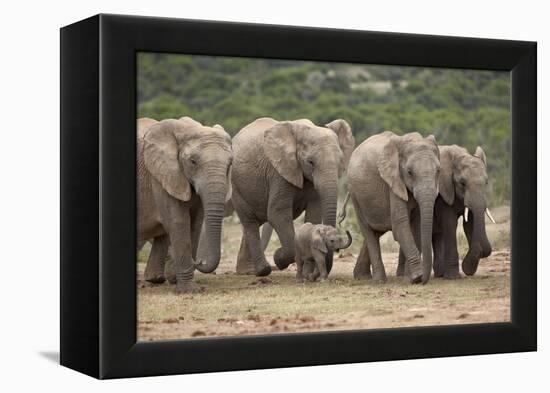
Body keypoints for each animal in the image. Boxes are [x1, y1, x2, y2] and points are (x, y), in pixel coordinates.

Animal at [139, 115, 234, 292]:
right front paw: (189, 290)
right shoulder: (161, 175)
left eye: (230, 164)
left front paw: (178, 281)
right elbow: (179, 221)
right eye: (193, 161)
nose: (200, 261)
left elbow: (195, 223)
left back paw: (156, 279)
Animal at [232, 116, 354, 276]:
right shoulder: (279, 172)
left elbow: (314, 213)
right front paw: (278, 258)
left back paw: (247, 271)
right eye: (310, 162)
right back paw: (262, 270)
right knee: (250, 222)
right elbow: (277, 213)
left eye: (341, 162)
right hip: (237, 186)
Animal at [350, 131, 444, 282]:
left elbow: (416, 225)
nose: (424, 280)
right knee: (369, 232)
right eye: (409, 172)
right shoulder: (393, 181)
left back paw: (362, 276)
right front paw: (417, 277)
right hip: (355, 195)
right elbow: (400, 224)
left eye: (438, 170)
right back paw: (379, 280)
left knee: (376, 231)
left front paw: (409, 277)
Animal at [396, 145, 496, 278]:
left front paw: (467, 269)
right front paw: (454, 277)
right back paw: (403, 275)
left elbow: (469, 223)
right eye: (462, 183)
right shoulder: (443, 193)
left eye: (486, 182)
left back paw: (439, 273)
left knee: (437, 235)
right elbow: (450, 224)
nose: (466, 268)